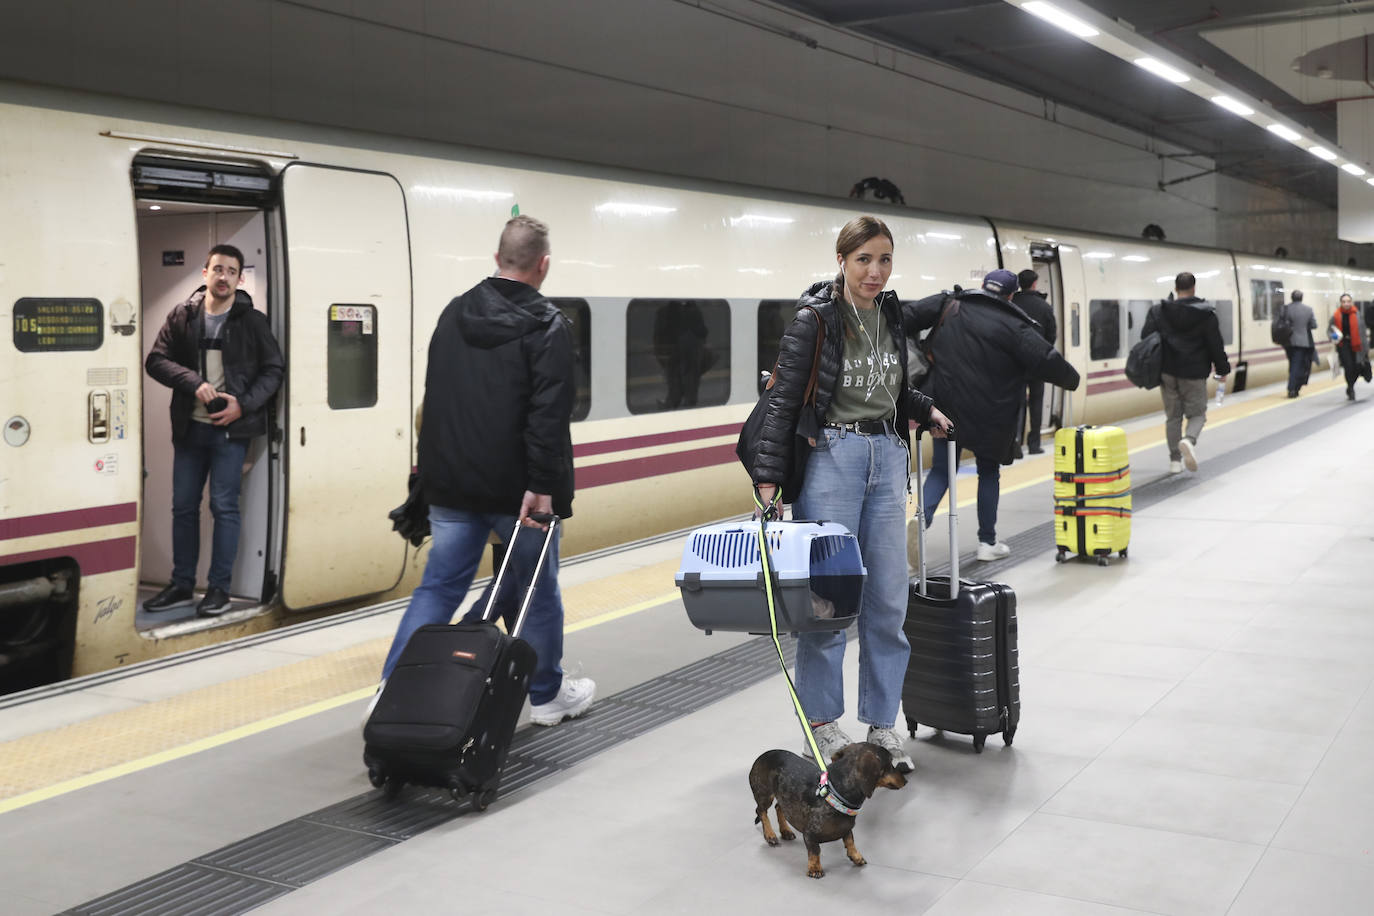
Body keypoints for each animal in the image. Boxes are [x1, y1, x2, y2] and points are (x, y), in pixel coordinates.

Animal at [747, 741, 906, 878]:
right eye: (890, 762)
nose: (906, 781)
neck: (833, 794)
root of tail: (763, 755)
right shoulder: (809, 834)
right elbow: (815, 851)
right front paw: (815, 868)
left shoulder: (847, 828)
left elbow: (850, 840)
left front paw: (856, 856)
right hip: (764, 794)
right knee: (762, 811)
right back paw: (770, 835)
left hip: (784, 796)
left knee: (779, 807)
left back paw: (785, 831)